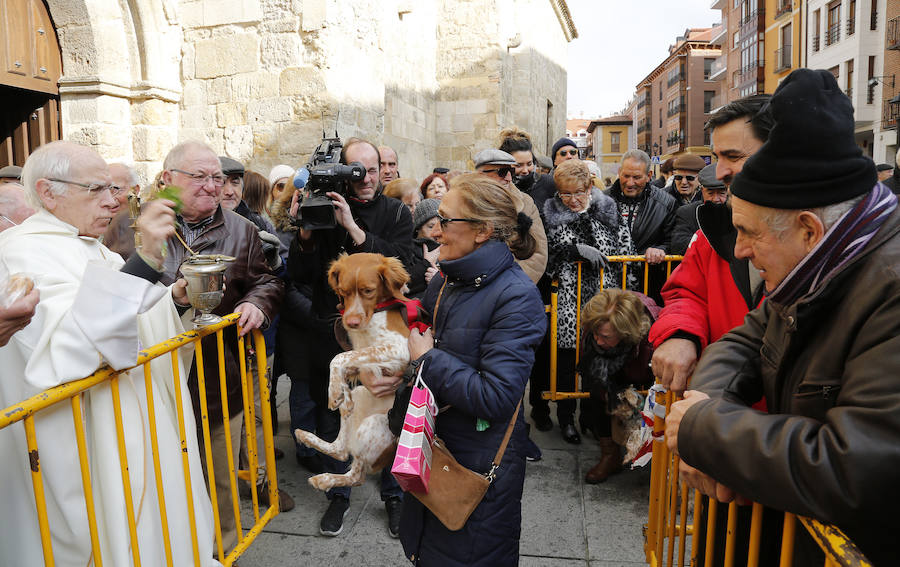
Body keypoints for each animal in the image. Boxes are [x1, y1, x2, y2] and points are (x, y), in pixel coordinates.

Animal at [298, 254, 418, 492]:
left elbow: (339, 357)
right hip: (362, 395)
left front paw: (335, 391)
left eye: (368, 291)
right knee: (341, 450)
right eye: (343, 292)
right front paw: (338, 392)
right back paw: (307, 436)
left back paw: (324, 478)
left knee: (357, 475)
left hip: (373, 426)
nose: (350, 322)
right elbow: (345, 362)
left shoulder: (399, 348)